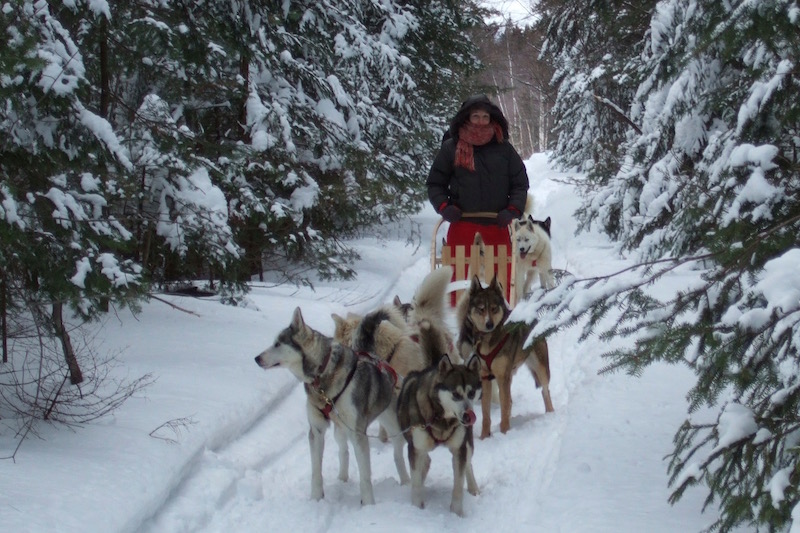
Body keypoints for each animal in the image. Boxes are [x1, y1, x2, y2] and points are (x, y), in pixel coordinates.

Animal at [255, 308, 410, 502]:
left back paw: (405, 482)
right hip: (340, 430)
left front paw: (368, 503)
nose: (256, 358)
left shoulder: (357, 433)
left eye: (277, 344)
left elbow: (365, 476)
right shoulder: (316, 430)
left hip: (393, 426)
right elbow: (316, 471)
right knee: (343, 451)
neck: (322, 377)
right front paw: (316, 499)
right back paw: (342, 478)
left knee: (398, 454)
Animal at [398, 354, 482, 516]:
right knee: (425, 462)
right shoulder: (416, 449)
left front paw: (456, 513)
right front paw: (416, 509)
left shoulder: (459, 449)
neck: (442, 420)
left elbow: (458, 484)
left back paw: (474, 488)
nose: (469, 416)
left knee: (468, 463)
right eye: (455, 394)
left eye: (471, 393)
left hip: (467, 443)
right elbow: (416, 483)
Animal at [456, 272, 552, 438]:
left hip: (540, 370)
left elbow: (504, 408)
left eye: (494, 308)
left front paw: (505, 433)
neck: (488, 341)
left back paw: (551, 414)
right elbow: (486, 414)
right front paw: (485, 436)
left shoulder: (502, 377)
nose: (489, 324)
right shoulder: (485, 378)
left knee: (545, 391)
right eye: (481, 309)